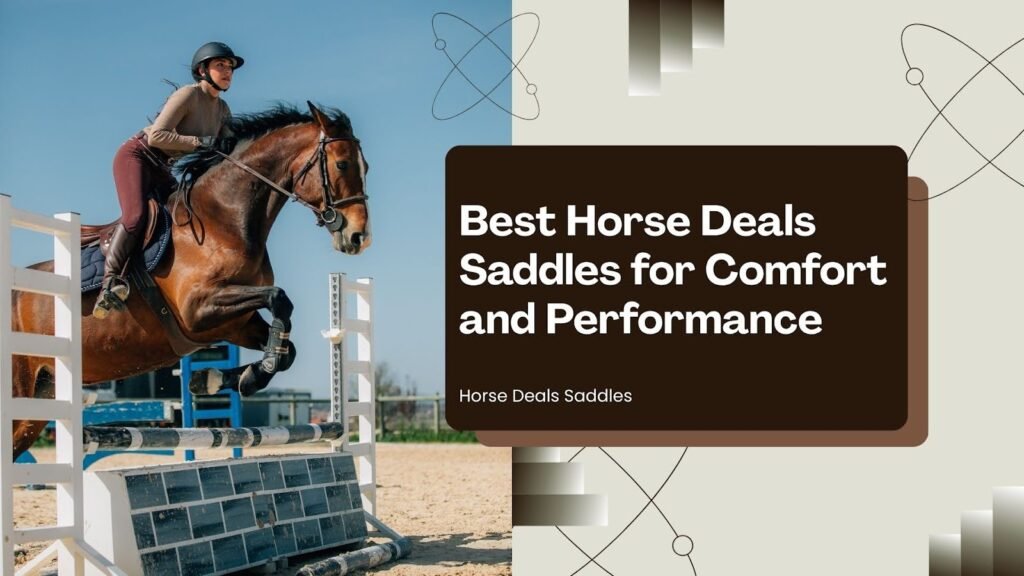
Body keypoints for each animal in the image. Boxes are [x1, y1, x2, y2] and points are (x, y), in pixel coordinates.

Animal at [10, 102, 370, 460]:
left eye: (364, 166)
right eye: (342, 163)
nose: (358, 237)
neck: (223, 221)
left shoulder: (233, 324)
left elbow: (288, 348)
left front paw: (219, 379)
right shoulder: (197, 310)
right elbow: (279, 298)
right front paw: (244, 372)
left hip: (38, 403)